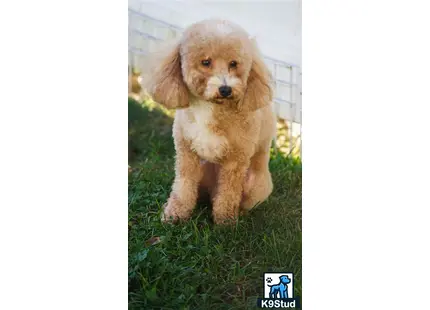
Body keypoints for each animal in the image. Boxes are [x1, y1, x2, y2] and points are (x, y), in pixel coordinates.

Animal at [144, 18, 278, 223]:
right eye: (206, 62)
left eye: (233, 63)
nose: (225, 89)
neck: (211, 107)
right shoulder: (186, 154)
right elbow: (183, 186)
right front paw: (175, 214)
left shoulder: (235, 161)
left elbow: (228, 194)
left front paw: (225, 222)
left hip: (255, 186)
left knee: (243, 200)